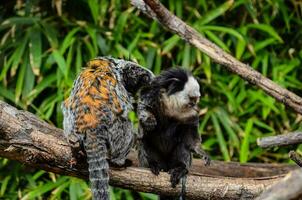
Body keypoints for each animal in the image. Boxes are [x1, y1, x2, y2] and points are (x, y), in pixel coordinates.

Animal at [137, 68, 210, 199]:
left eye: (196, 99)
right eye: (192, 99)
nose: (195, 106)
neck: (172, 106)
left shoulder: (191, 115)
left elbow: (190, 139)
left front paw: (200, 151)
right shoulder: (153, 95)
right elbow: (144, 107)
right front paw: (149, 119)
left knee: (183, 146)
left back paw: (179, 169)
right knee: (145, 140)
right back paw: (153, 164)